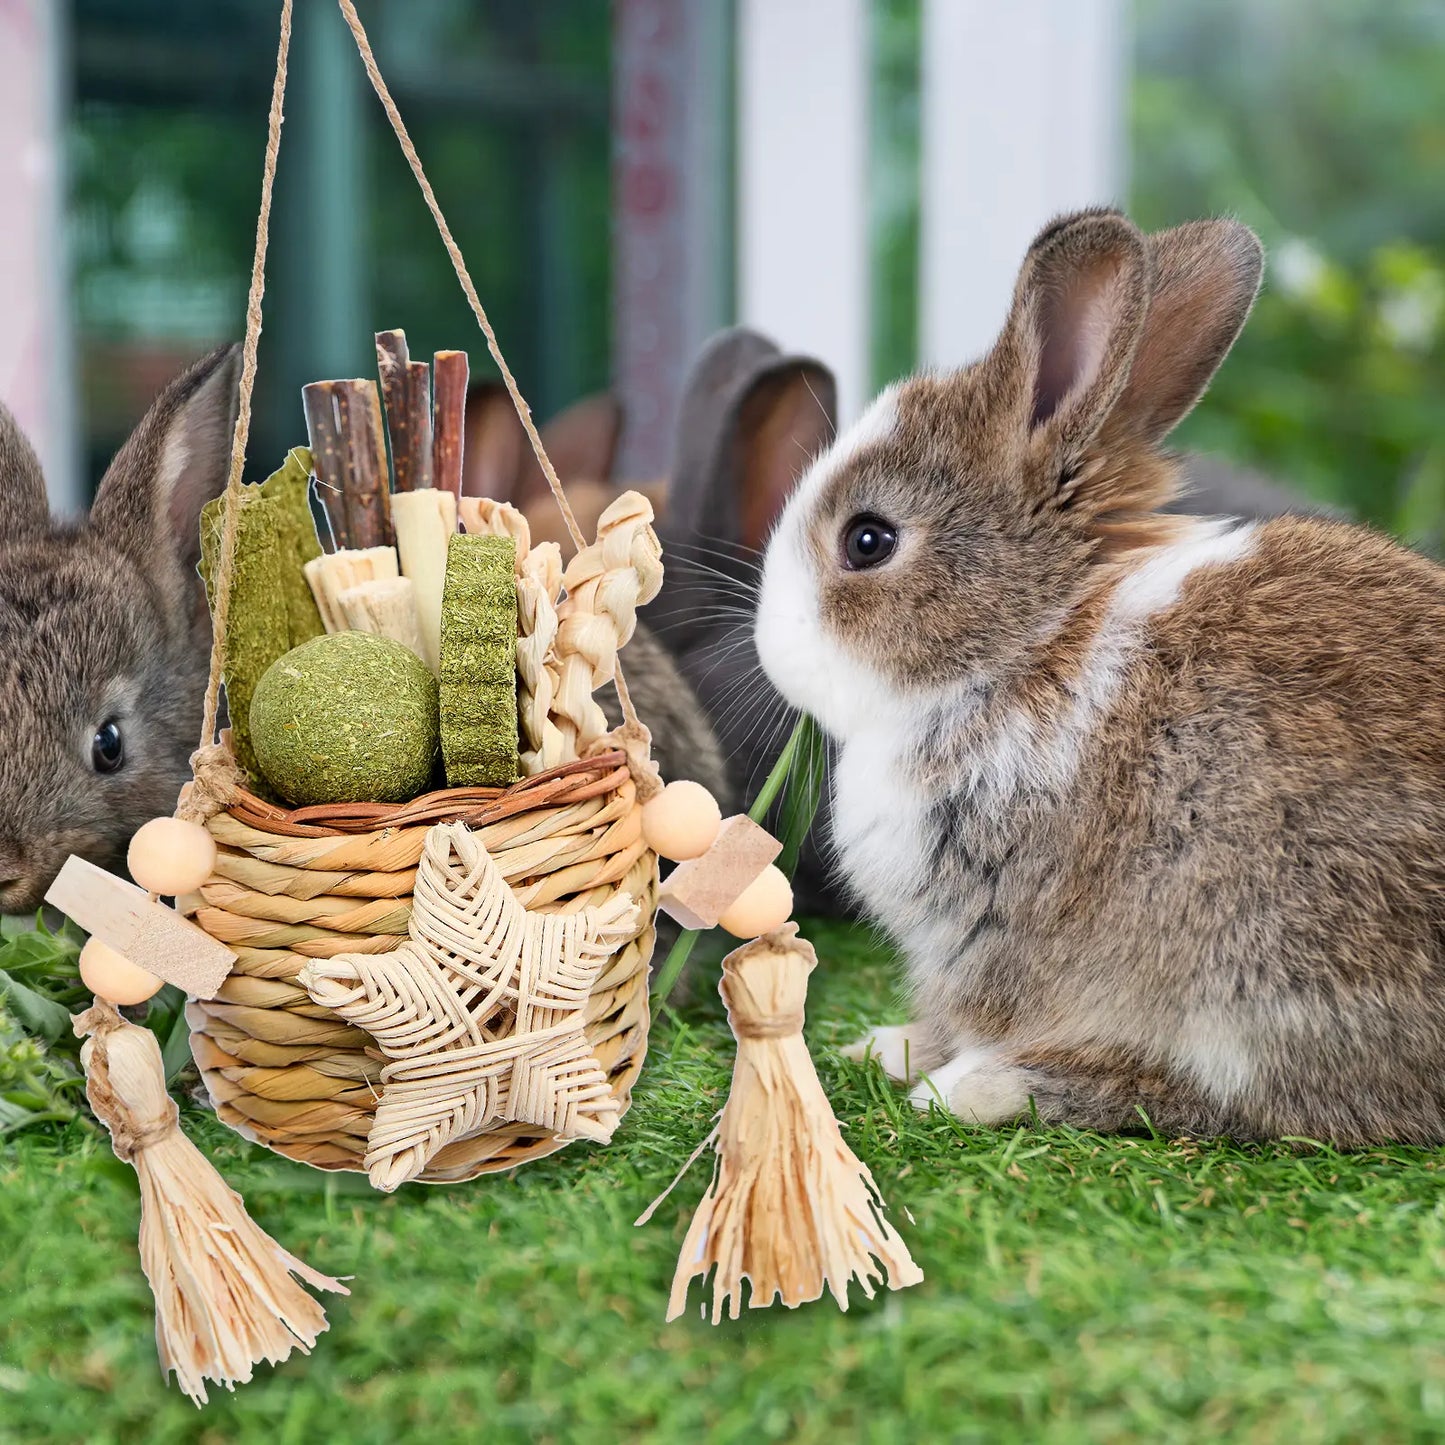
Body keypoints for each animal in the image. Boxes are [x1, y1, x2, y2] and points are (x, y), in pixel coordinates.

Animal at [753, 207, 1445, 1145]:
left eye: (868, 540)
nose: (768, 646)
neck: (1029, 645)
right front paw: (883, 1045)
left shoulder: (995, 932)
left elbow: (983, 1013)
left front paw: (930, 1069)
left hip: (1270, 970)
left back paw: (982, 1089)